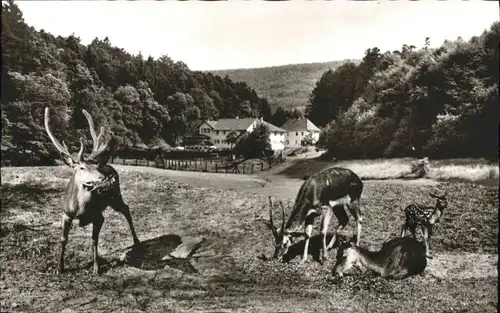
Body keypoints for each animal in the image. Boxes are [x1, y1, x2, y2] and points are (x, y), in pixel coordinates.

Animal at [44, 107, 142, 272]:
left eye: (96, 167)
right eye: (82, 167)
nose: (105, 178)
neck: (80, 209)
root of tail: (110, 165)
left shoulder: (98, 216)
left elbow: (94, 239)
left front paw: (96, 267)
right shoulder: (66, 213)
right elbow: (64, 239)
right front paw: (59, 267)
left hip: (116, 196)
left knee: (126, 209)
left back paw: (136, 240)